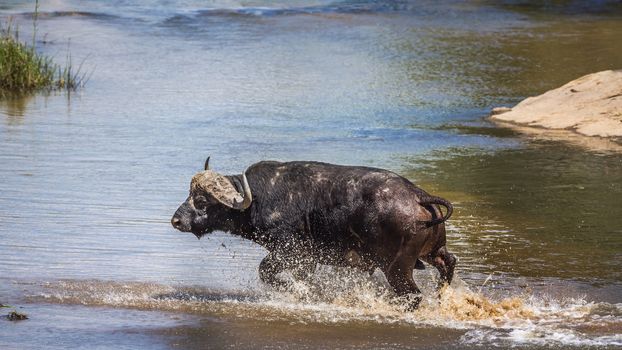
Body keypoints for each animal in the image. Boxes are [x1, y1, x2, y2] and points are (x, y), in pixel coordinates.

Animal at [172, 157, 458, 308]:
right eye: (189, 194)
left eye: (202, 201)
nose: (176, 220)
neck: (256, 199)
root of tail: (418, 196)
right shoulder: (306, 262)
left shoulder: (290, 253)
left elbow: (265, 271)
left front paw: (293, 289)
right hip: (432, 253)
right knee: (449, 262)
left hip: (397, 268)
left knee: (413, 296)